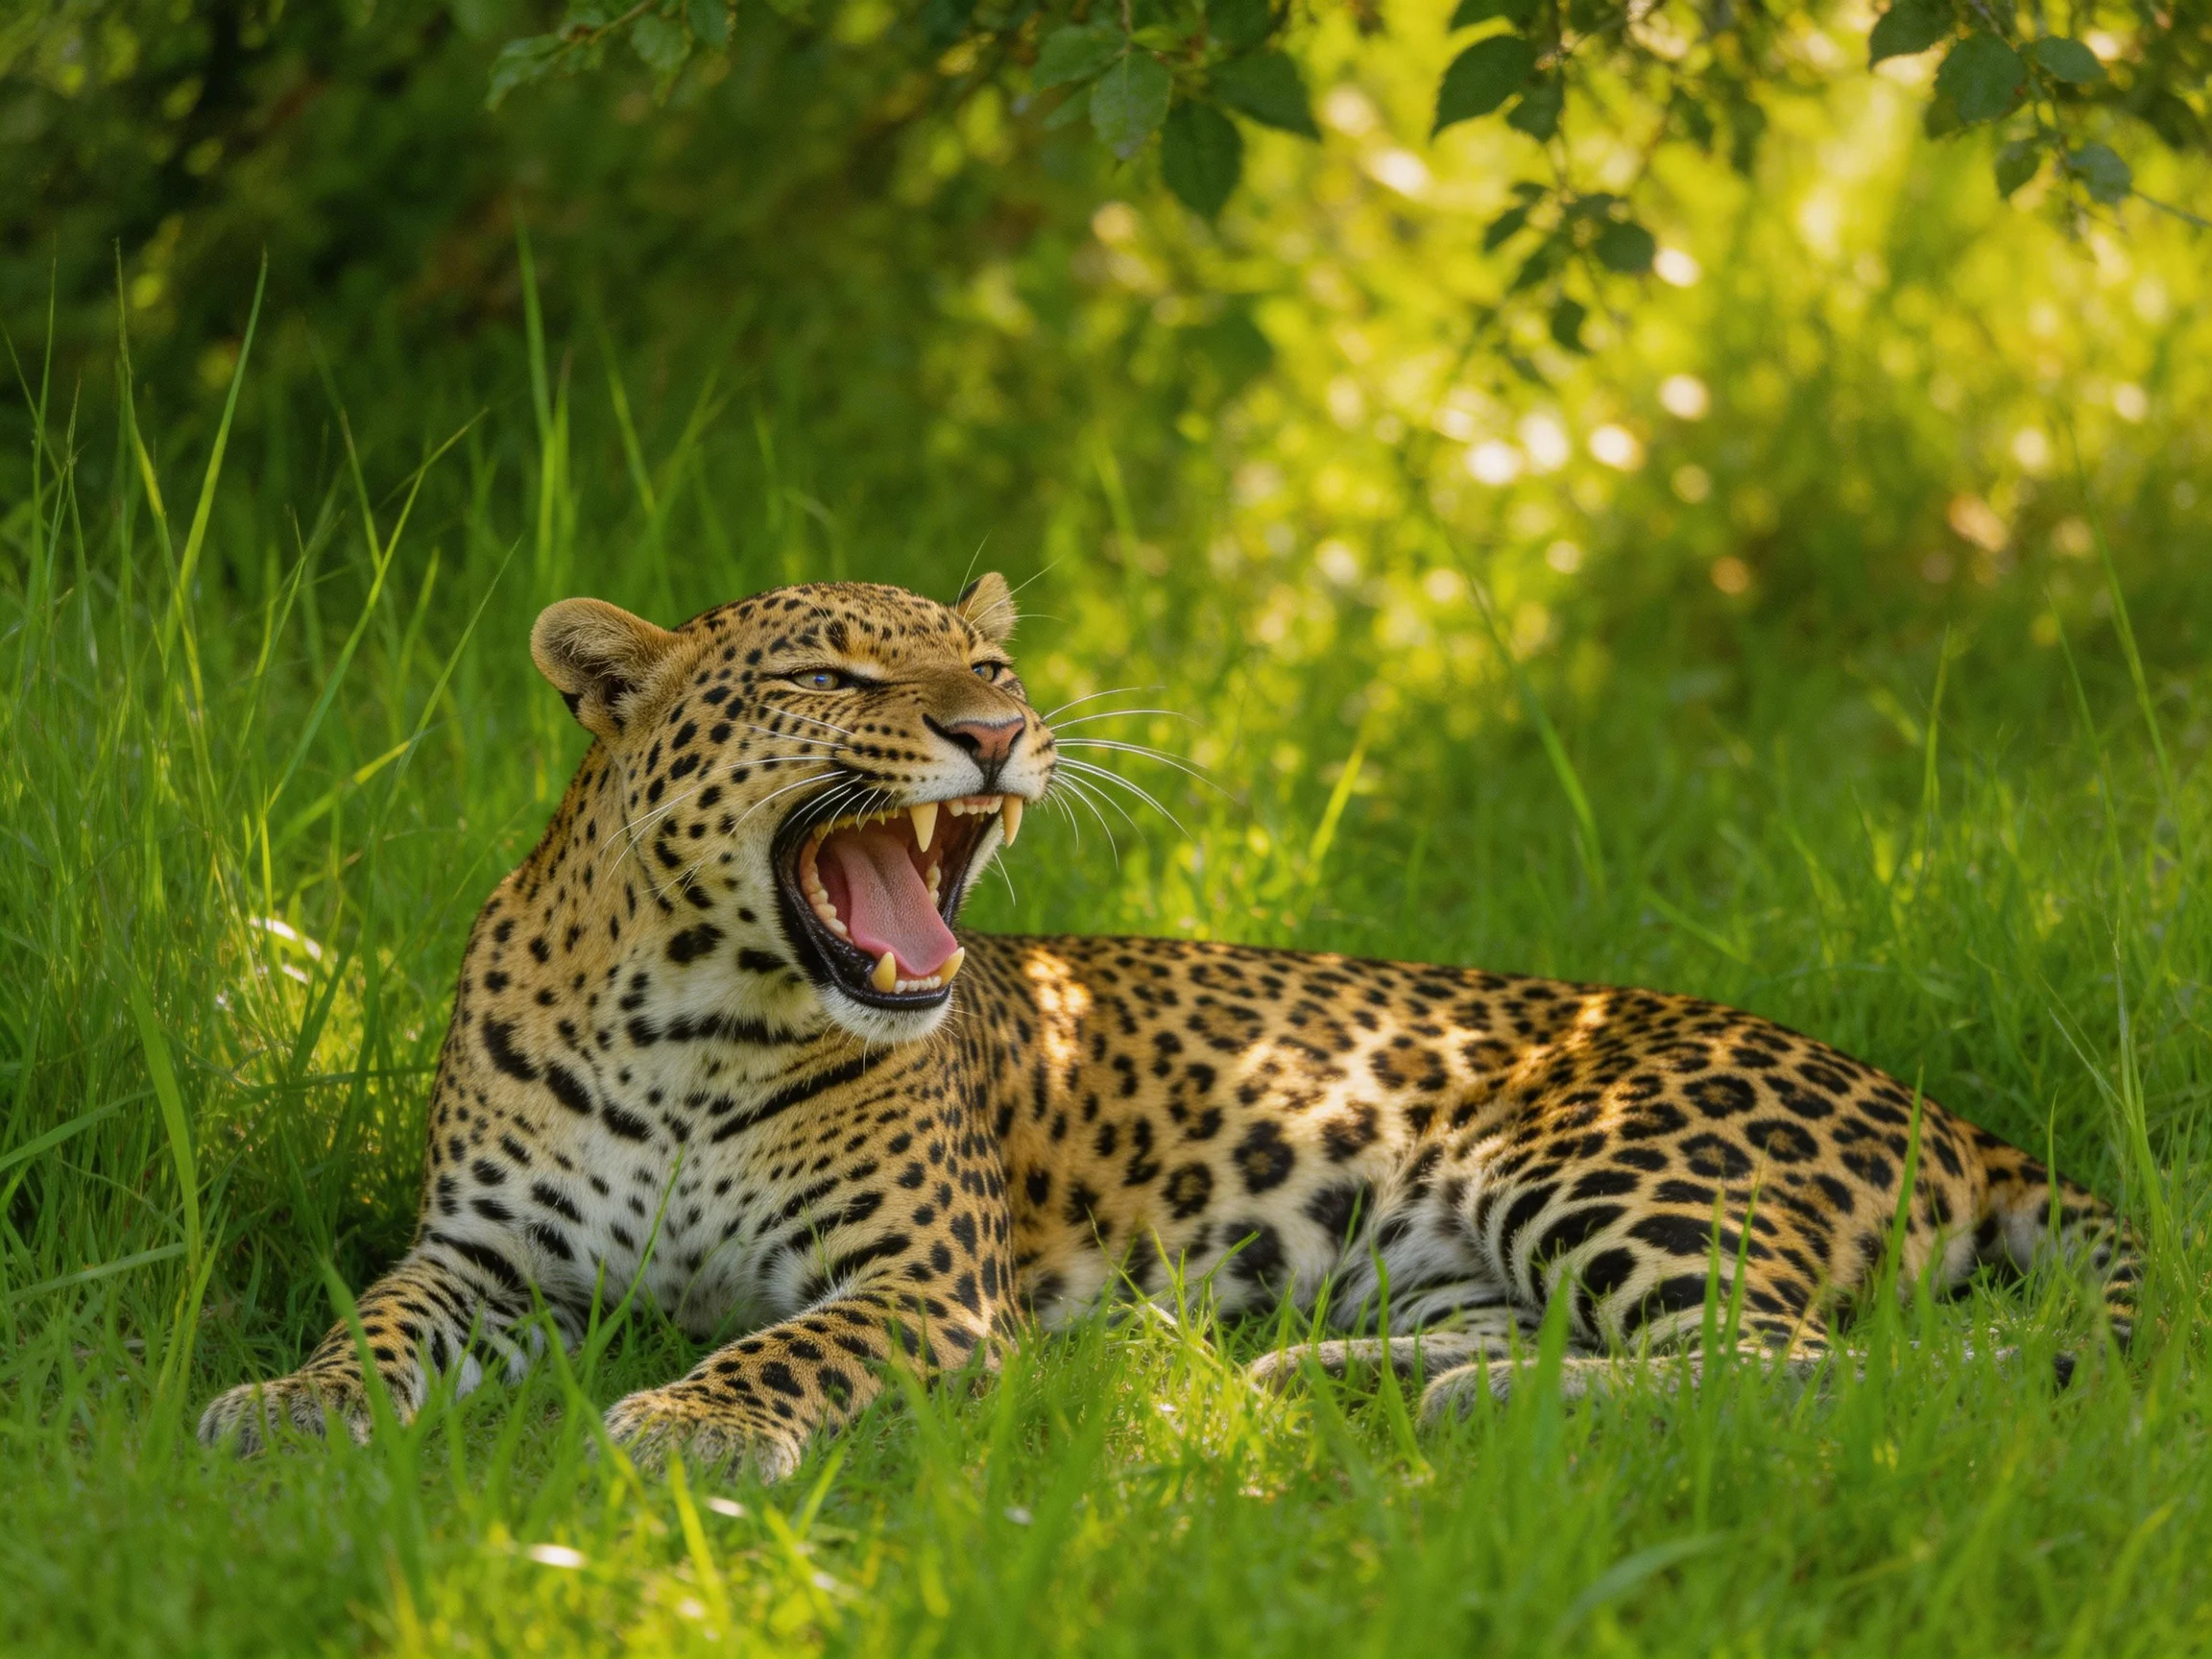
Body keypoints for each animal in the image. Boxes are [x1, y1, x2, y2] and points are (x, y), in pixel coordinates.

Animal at [199, 574, 2139, 1474]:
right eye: (835, 669)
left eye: (985, 662)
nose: (997, 728)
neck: (689, 1019)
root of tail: (1952, 1118)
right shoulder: (480, 1257)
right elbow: (377, 1328)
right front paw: (286, 1407)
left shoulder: (924, 1286)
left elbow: (781, 1347)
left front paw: (686, 1422)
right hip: (1451, 1245)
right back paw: (1347, 1380)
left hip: (1603, 1166)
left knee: (1829, 1372)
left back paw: (1467, 1410)